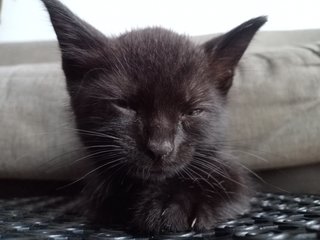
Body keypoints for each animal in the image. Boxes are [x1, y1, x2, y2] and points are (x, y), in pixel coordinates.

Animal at [42, 0, 264, 233]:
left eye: (193, 111)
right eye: (125, 105)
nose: (160, 148)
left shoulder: (230, 169)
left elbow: (223, 180)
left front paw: (174, 203)